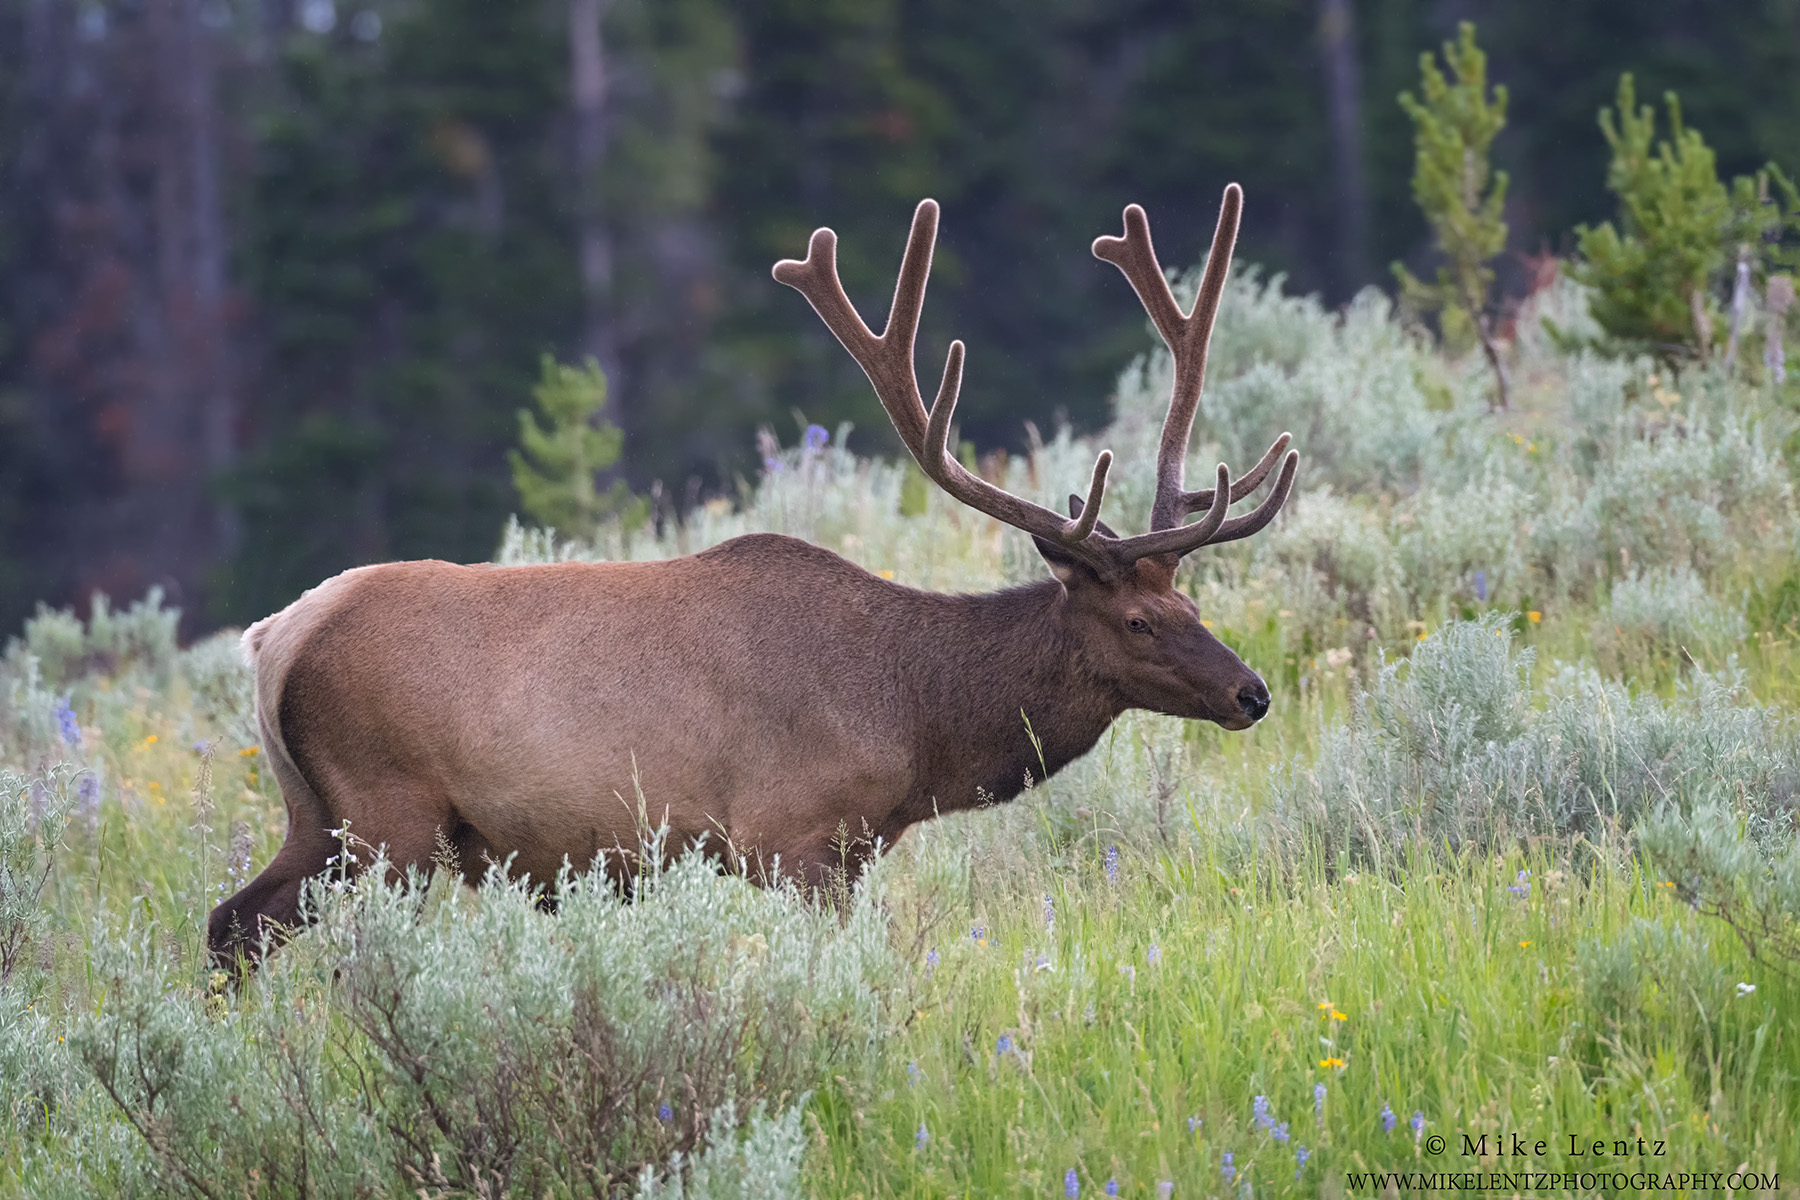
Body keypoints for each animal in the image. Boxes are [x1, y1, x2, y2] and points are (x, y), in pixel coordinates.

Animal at [207, 180, 1296, 964]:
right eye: (1138, 622)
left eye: (1191, 599)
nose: (1252, 692)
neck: (916, 723)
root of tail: (273, 639)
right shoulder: (790, 832)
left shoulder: (851, 848)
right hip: (386, 810)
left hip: (318, 813)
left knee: (232, 921)